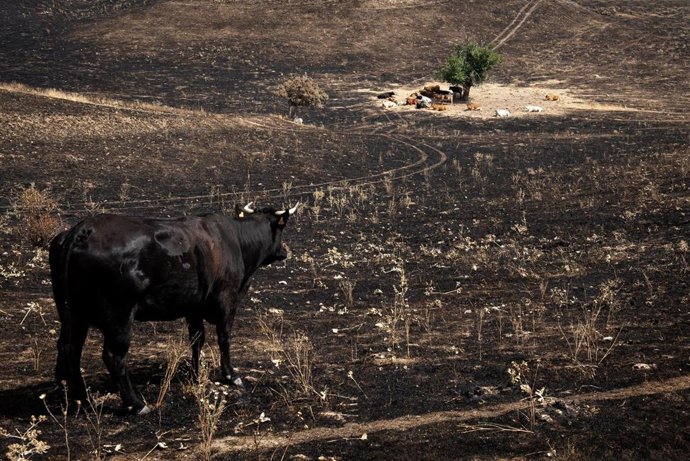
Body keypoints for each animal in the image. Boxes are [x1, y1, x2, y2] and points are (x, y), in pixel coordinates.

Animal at [48, 202, 299, 414]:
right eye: (282, 230)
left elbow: (197, 339)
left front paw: (196, 374)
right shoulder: (227, 301)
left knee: (69, 349)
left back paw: (80, 400)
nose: (284, 252)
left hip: (73, 315)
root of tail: (83, 229)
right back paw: (136, 405)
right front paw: (230, 375)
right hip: (119, 317)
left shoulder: (194, 308)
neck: (235, 241)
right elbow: (224, 337)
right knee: (113, 356)